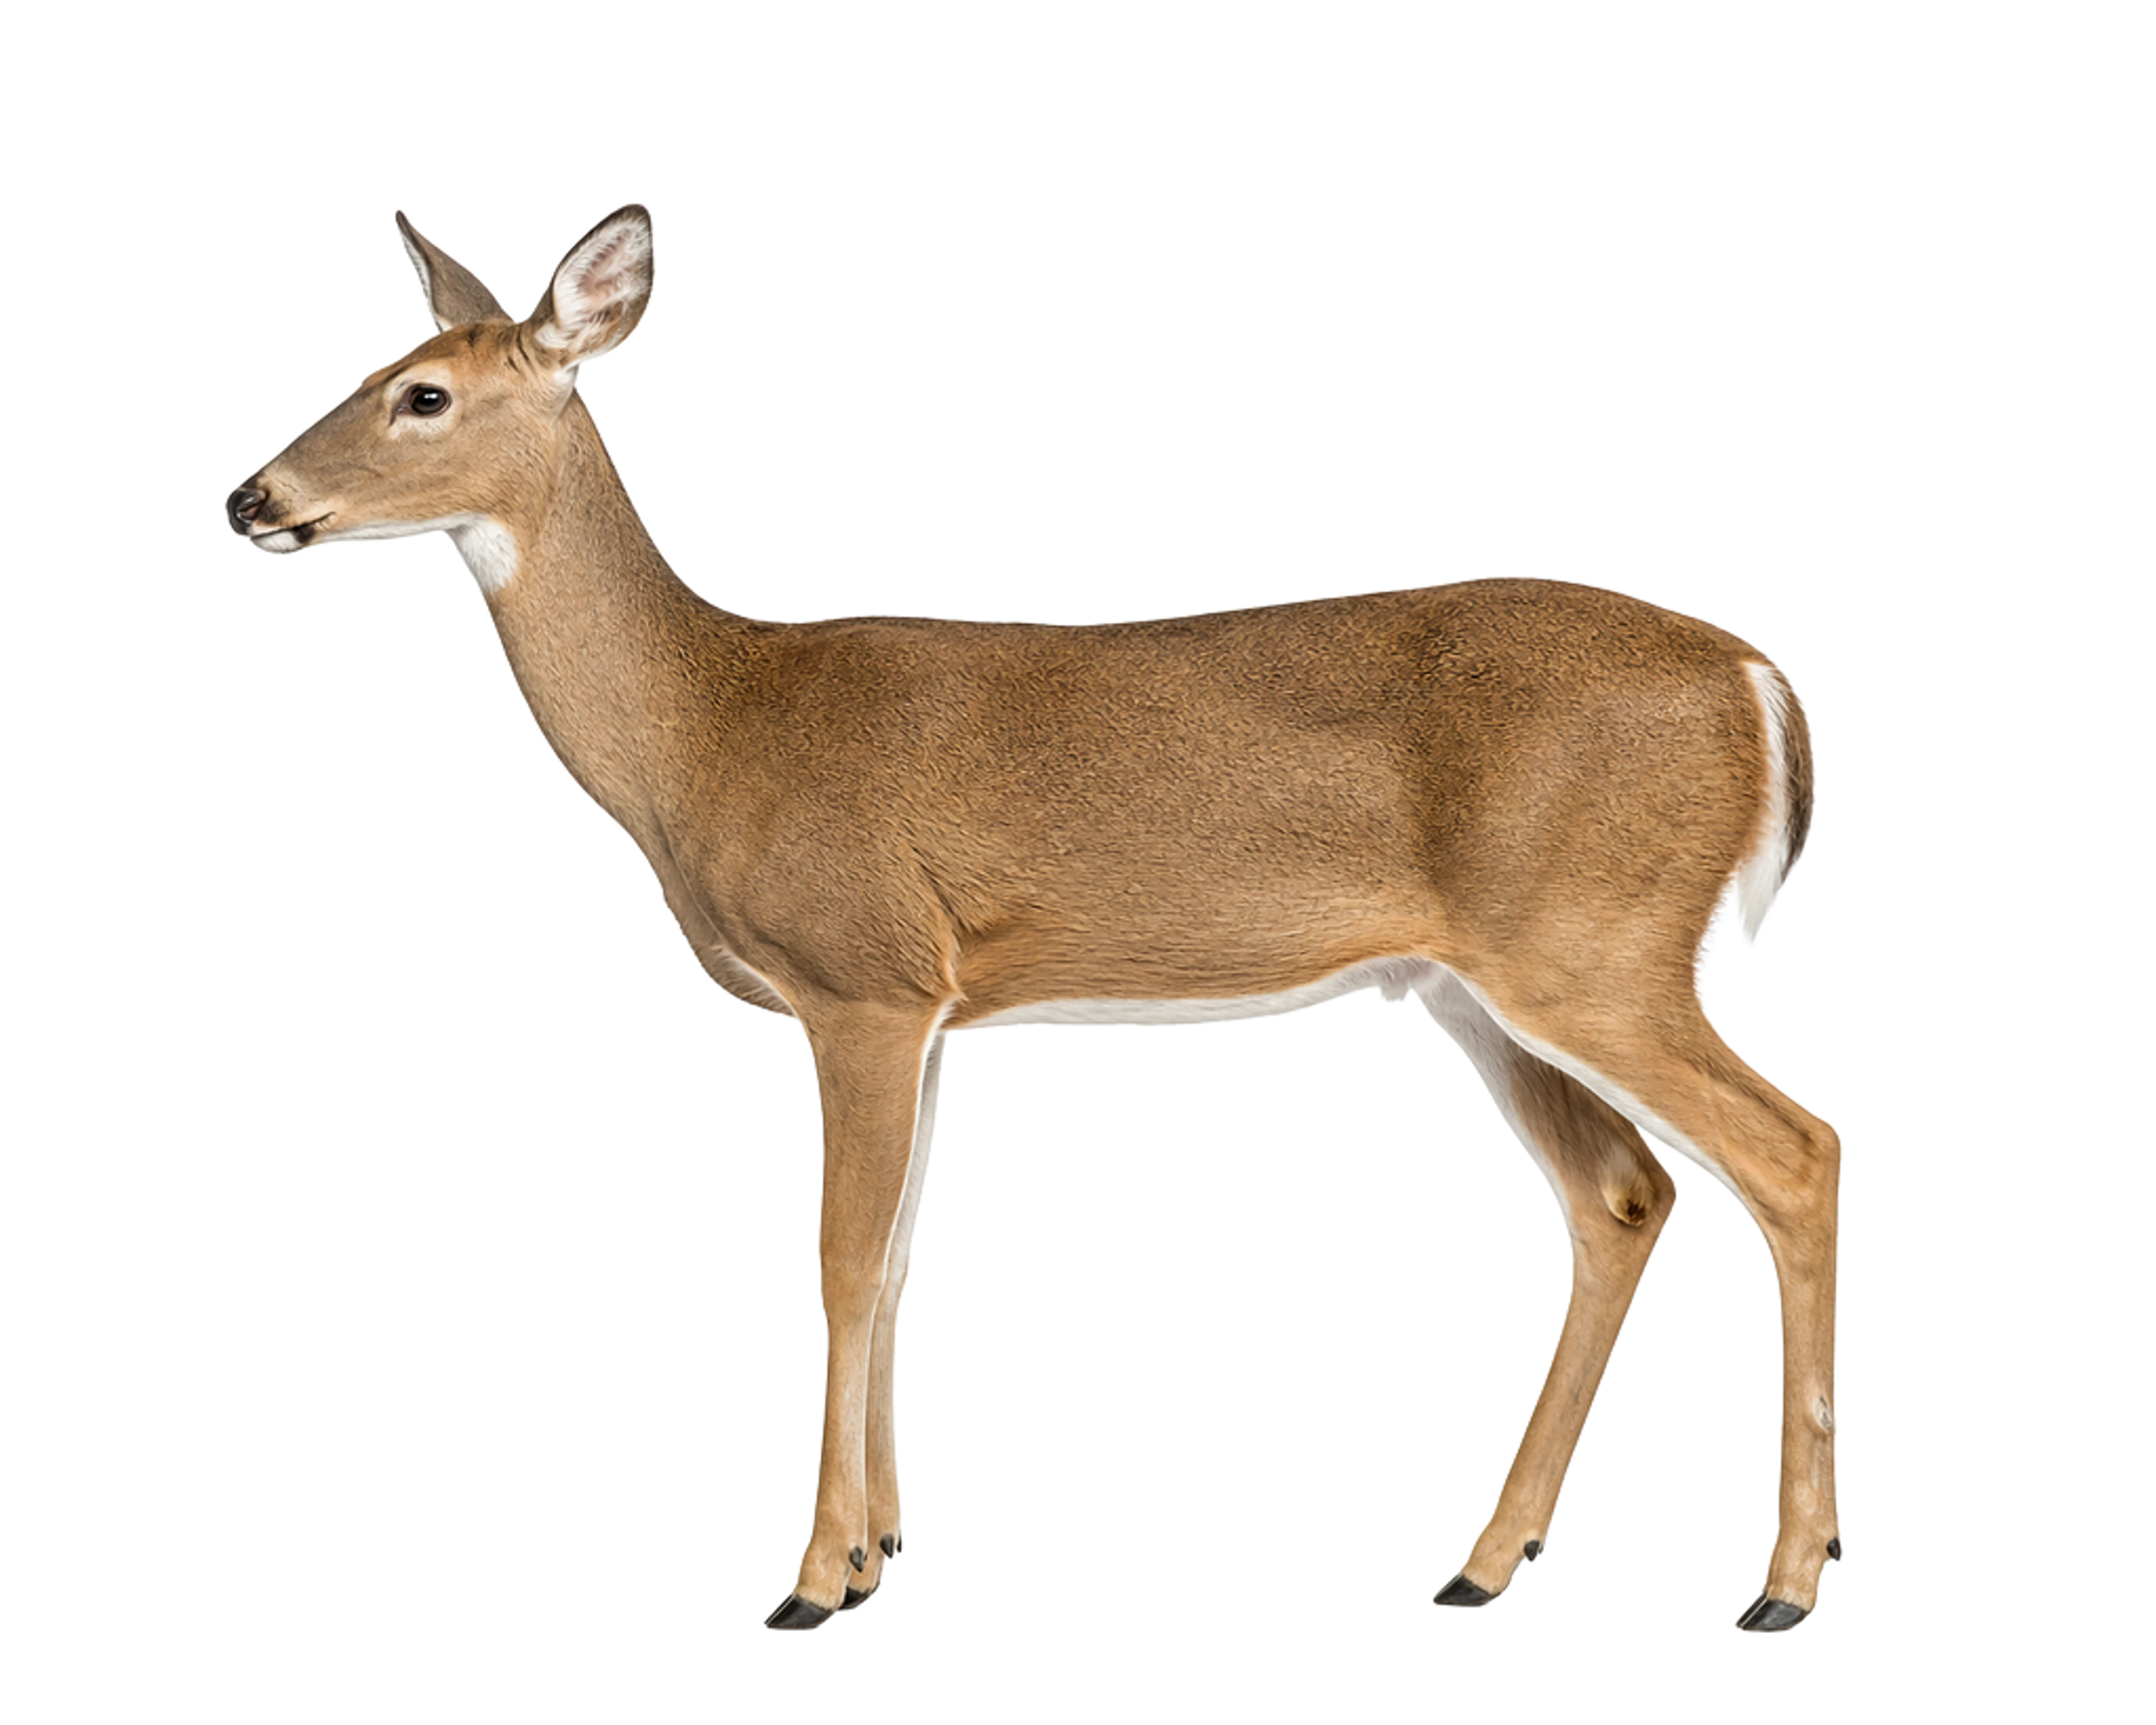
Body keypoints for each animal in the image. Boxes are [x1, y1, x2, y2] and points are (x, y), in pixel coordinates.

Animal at [226, 202, 1841, 1635]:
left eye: (421, 393)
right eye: (377, 368)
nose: (254, 498)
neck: (712, 727)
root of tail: (1762, 684)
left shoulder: (865, 974)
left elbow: (844, 1256)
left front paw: (813, 1580)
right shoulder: (934, 1005)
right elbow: (901, 1255)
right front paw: (877, 1549)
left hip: (1596, 945)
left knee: (1791, 1150)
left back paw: (1779, 1582)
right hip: (1483, 979)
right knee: (1625, 1192)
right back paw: (1488, 1563)